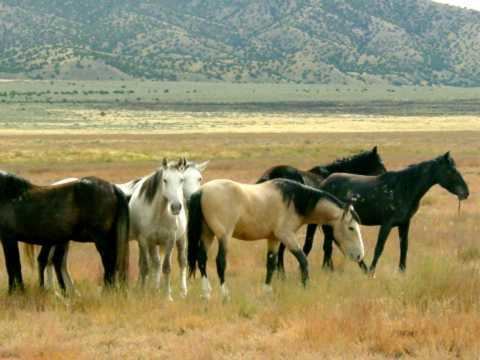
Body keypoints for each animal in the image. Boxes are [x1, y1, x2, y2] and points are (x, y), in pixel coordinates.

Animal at [0, 173, 129, 294]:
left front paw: (15, 292)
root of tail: (112, 187)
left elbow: (12, 265)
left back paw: (106, 291)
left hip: (101, 238)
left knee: (108, 262)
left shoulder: (8, 238)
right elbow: (14, 265)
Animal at [188, 179, 364, 300]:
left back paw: (206, 293)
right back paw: (225, 294)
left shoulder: (273, 239)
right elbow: (303, 260)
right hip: (223, 236)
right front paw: (306, 286)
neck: (294, 201)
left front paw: (267, 291)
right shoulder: (286, 236)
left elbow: (271, 264)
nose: (360, 255)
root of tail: (202, 191)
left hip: (207, 234)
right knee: (220, 262)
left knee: (201, 259)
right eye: (351, 228)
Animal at [318, 151, 468, 272]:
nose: (466, 192)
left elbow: (404, 247)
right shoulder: (387, 224)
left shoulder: (404, 224)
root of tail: (323, 184)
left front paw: (402, 271)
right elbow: (379, 248)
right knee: (329, 245)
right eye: (450, 171)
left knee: (329, 245)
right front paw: (372, 272)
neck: (404, 188)